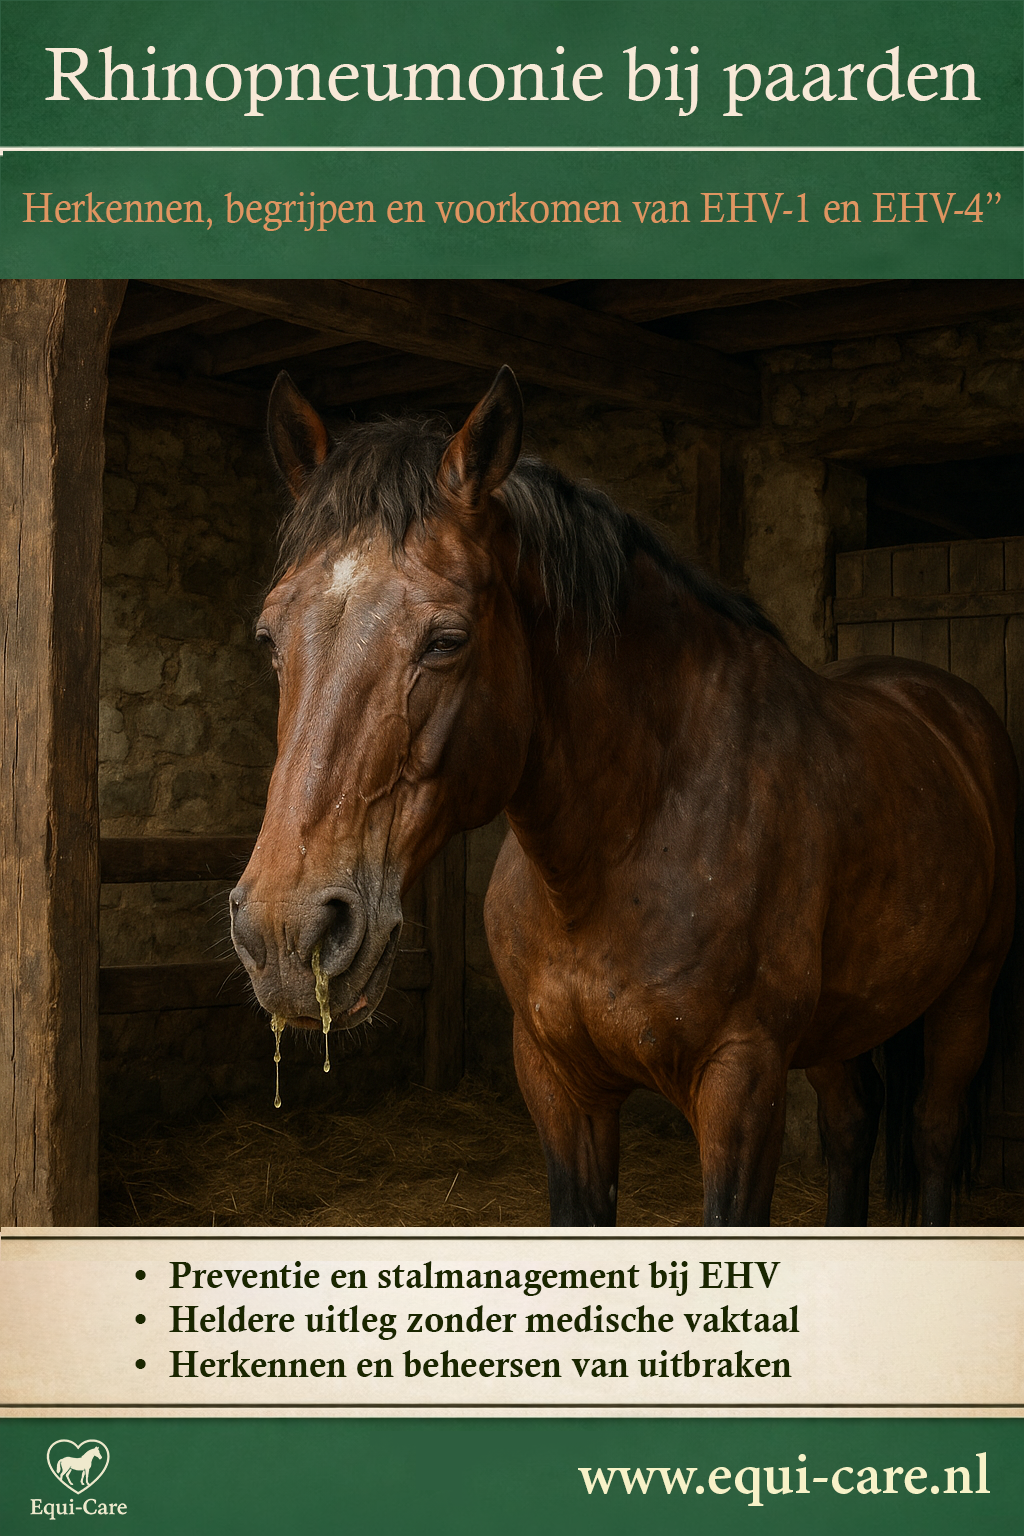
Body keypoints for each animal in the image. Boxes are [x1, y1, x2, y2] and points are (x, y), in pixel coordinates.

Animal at [229, 365, 1018, 1226]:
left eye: (447, 639)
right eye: (269, 637)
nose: (287, 933)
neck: (622, 842)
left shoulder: (742, 1085)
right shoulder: (558, 1084)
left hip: (968, 997)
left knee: (934, 1132)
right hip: (844, 1023)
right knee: (851, 1125)